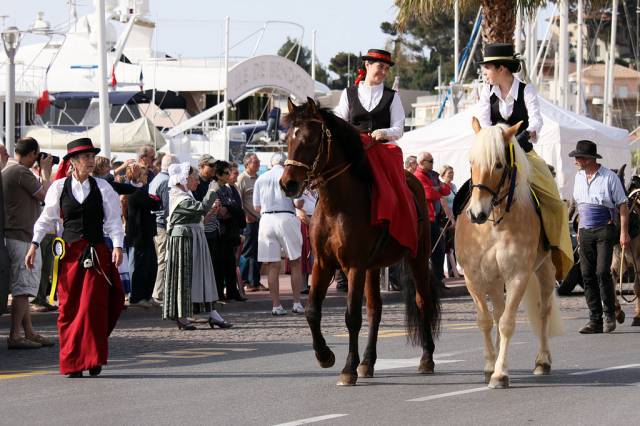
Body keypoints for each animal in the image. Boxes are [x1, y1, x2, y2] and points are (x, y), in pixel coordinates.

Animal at [280, 97, 440, 386]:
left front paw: (347, 368)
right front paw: (325, 356)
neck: (336, 206)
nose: (288, 184)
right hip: (373, 268)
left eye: (310, 139)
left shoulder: (353, 266)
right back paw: (368, 362)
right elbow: (312, 311)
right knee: (375, 309)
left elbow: (352, 317)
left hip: (418, 257)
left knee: (423, 301)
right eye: (287, 138)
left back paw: (426, 358)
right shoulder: (323, 264)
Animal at [456, 119, 564, 390]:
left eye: (498, 164)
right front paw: (489, 365)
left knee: (543, 310)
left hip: (544, 270)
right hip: (495, 280)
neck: (494, 223)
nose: (476, 214)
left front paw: (500, 373)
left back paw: (542, 361)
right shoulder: (473, 276)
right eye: (471, 161)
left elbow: (506, 322)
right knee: (497, 310)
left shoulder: (518, 275)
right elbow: (485, 319)